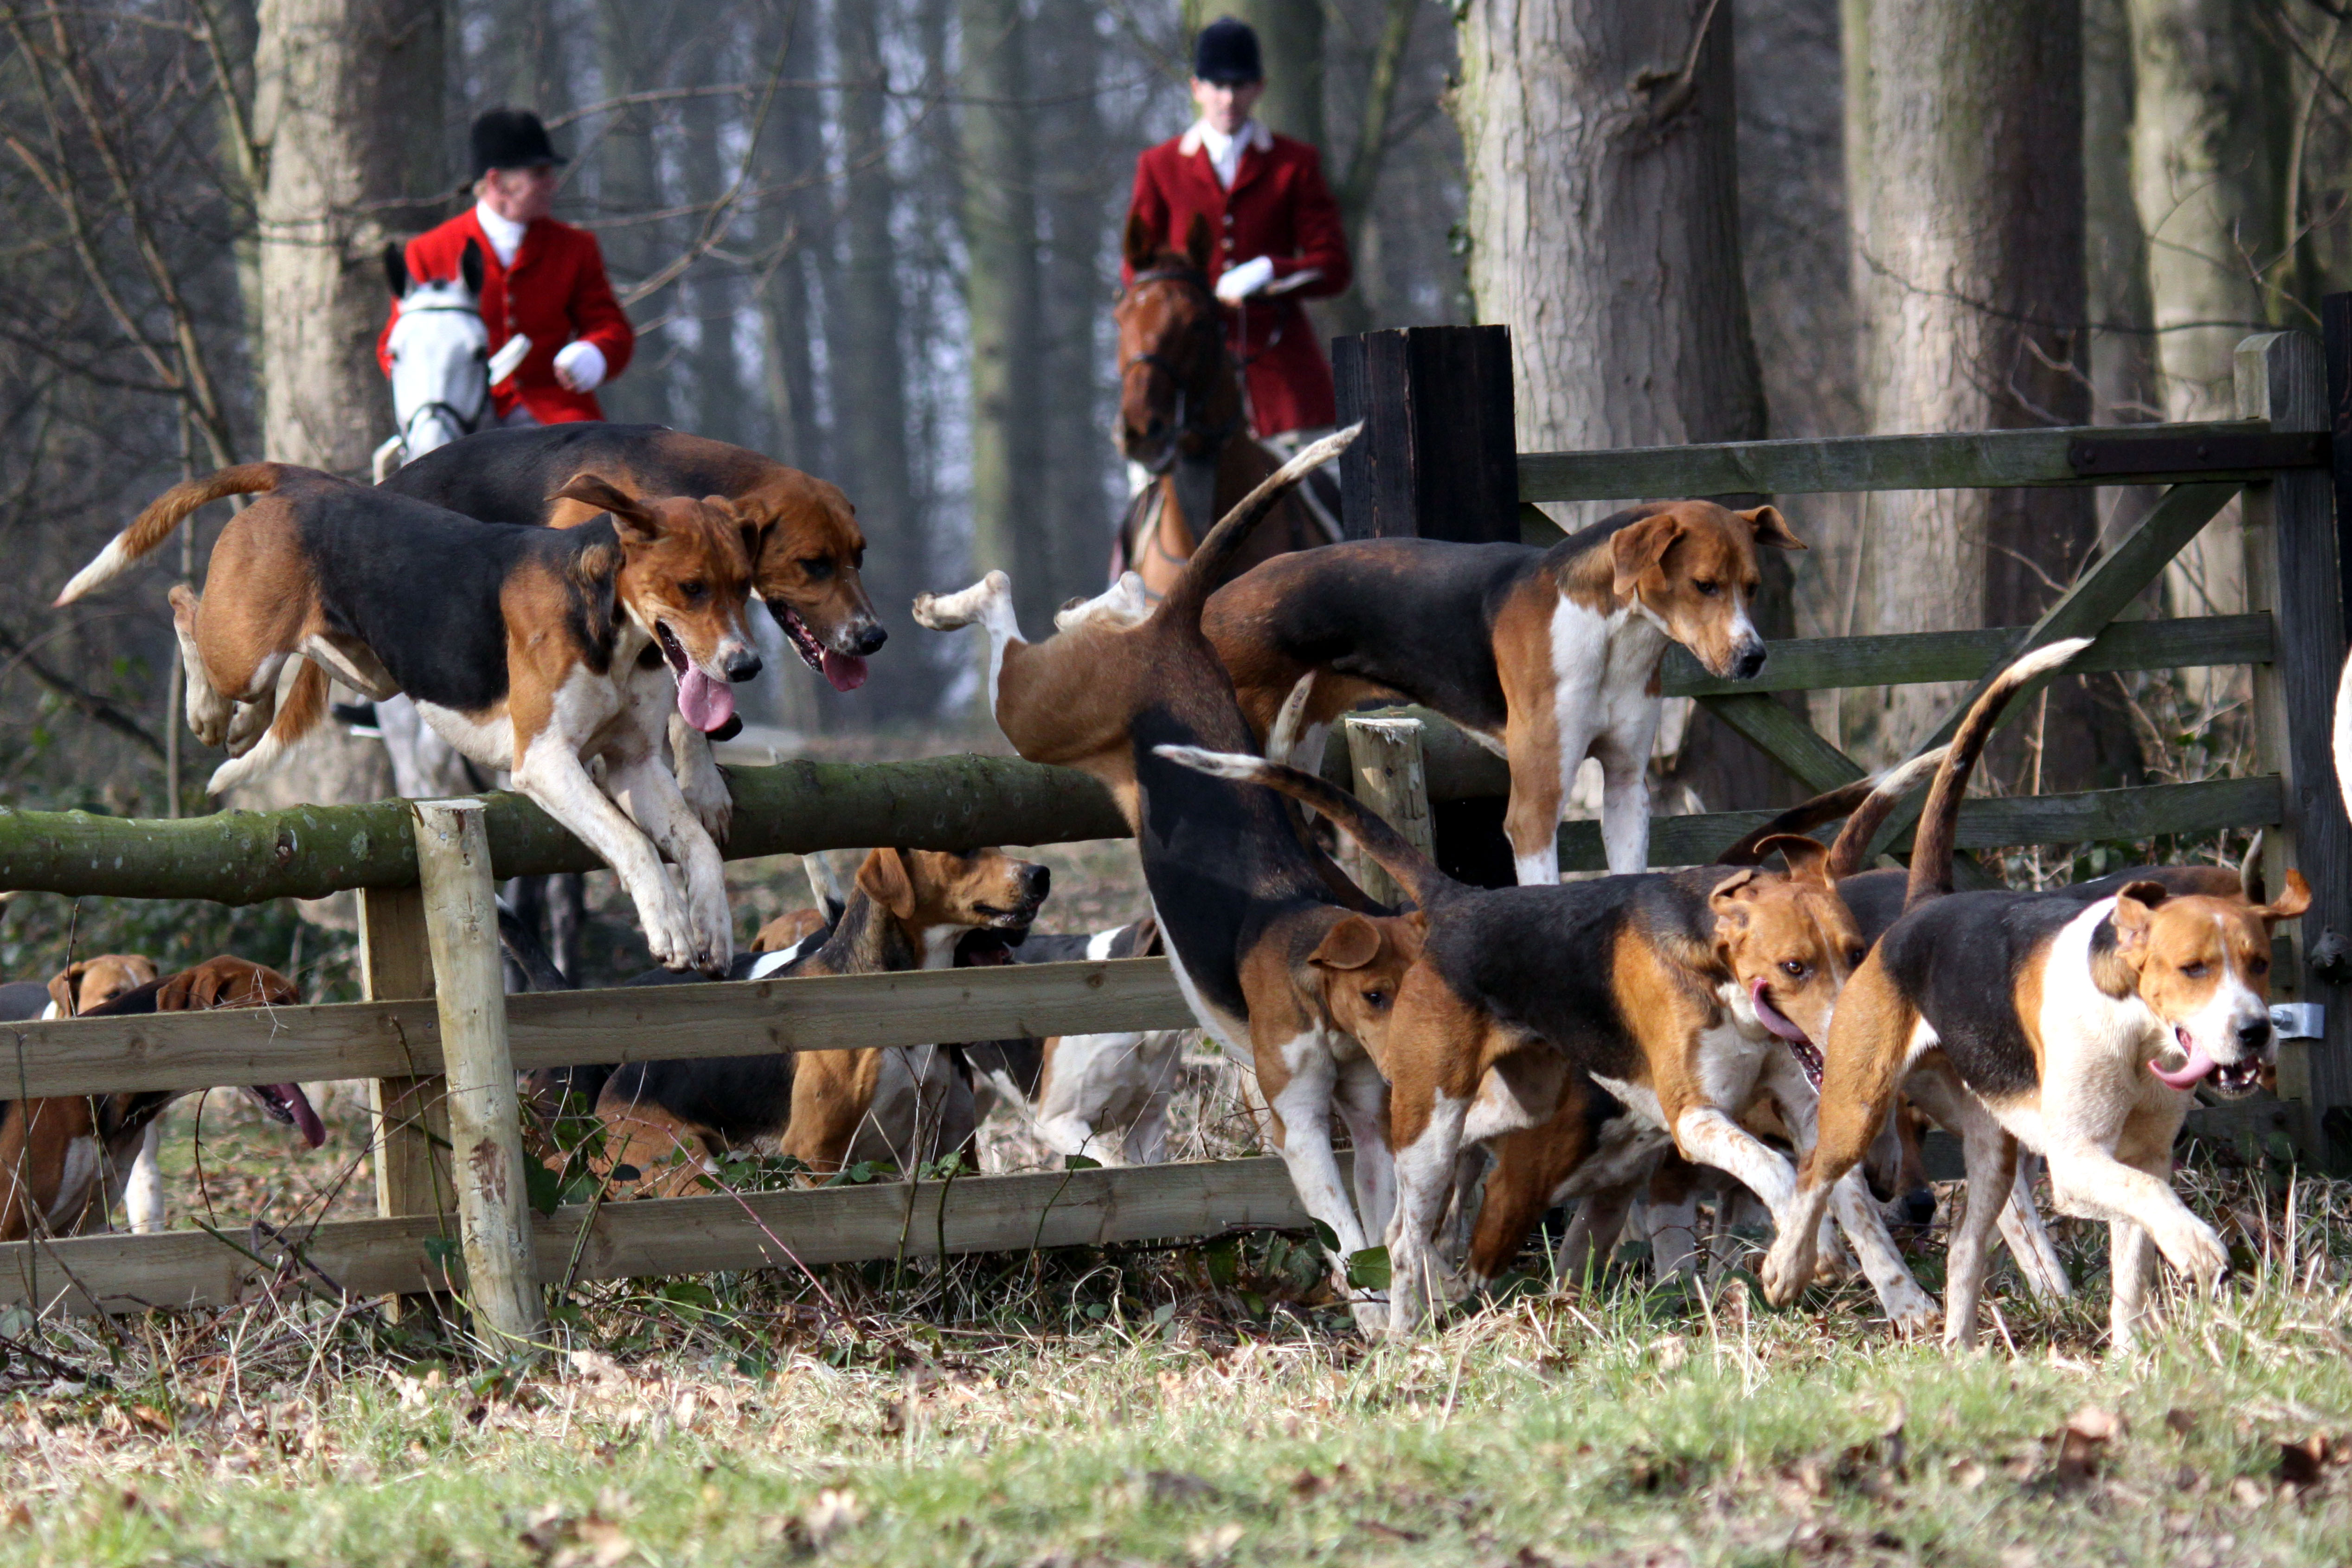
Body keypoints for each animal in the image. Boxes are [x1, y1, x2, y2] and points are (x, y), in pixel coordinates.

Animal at [57, 463, 762, 968]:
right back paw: (208, 710)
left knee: (286, 665)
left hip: (364, 666)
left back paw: (246, 724)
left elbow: (696, 844)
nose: (747, 666)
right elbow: (634, 843)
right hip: (246, 648)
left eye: (742, 584)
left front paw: (712, 923)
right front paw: (669, 924)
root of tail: (297, 479)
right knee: (182, 602)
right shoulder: (545, 762)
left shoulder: (634, 764)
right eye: (691, 587)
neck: (611, 623)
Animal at [1204, 501, 1787, 884]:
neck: (1611, 636)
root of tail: (1210, 604)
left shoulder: (1625, 791)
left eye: (1754, 586)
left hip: (1298, 757)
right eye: (1704, 585)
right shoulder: (1534, 813)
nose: (1754, 658)